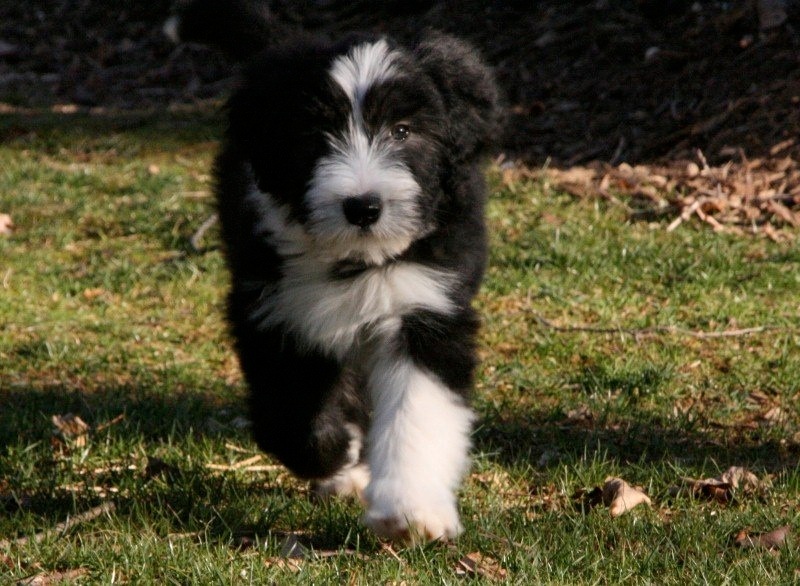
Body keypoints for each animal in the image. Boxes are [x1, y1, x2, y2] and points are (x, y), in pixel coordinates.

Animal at [169, 1, 500, 542]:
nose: (363, 206)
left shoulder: (428, 304)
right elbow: (293, 412)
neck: (357, 259)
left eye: (403, 131)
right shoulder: (273, 307)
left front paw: (409, 510)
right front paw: (335, 450)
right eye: (315, 134)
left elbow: (417, 407)